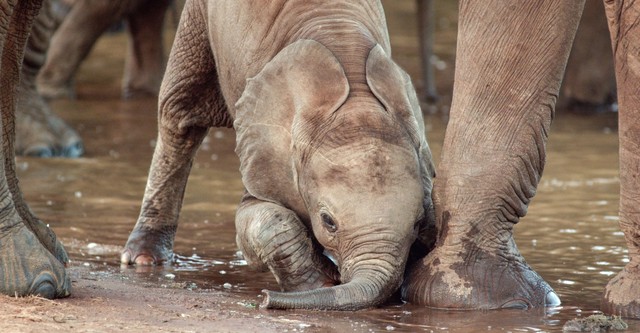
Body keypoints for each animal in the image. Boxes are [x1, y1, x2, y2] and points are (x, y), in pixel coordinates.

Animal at [121, 0, 436, 312]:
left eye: (417, 222)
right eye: (328, 222)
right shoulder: (264, 151)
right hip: (198, 18)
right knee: (179, 114)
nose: (264, 300)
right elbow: (258, 217)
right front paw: (320, 283)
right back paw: (144, 258)